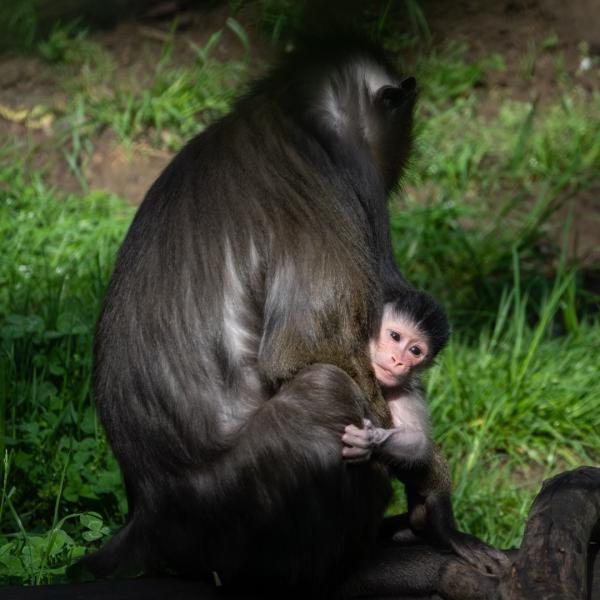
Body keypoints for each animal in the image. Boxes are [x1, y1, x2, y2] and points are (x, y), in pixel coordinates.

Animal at [342, 288, 450, 466]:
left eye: (415, 351)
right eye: (395, 336)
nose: (398, 360)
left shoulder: (402, 391)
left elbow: (418, 442)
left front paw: (370, 438)